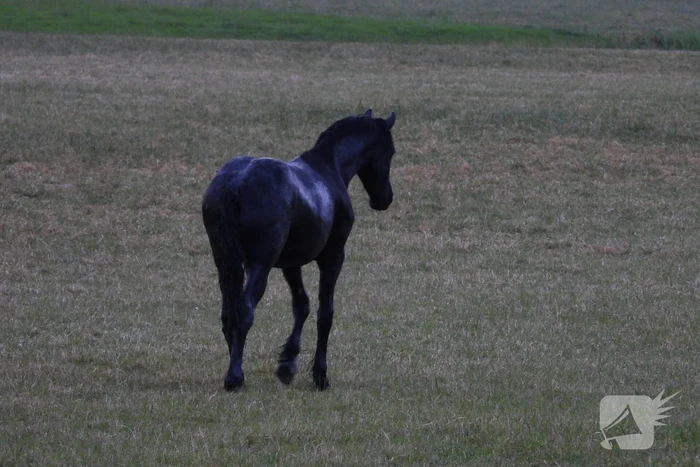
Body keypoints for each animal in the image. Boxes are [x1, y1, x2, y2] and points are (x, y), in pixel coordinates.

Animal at [202, 109, 397, 391]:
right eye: (391, 151)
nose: (385, 199)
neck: (327, 169)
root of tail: (235, 183)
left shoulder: (290, 264)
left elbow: (301, 305)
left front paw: (287, 364)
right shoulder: (333, 258)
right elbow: (325, 313)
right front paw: (320, 375)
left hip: (225, 263)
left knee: (228, 315)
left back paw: (235, 371)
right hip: (260, 265)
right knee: (245, 310)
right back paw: (235, 377)